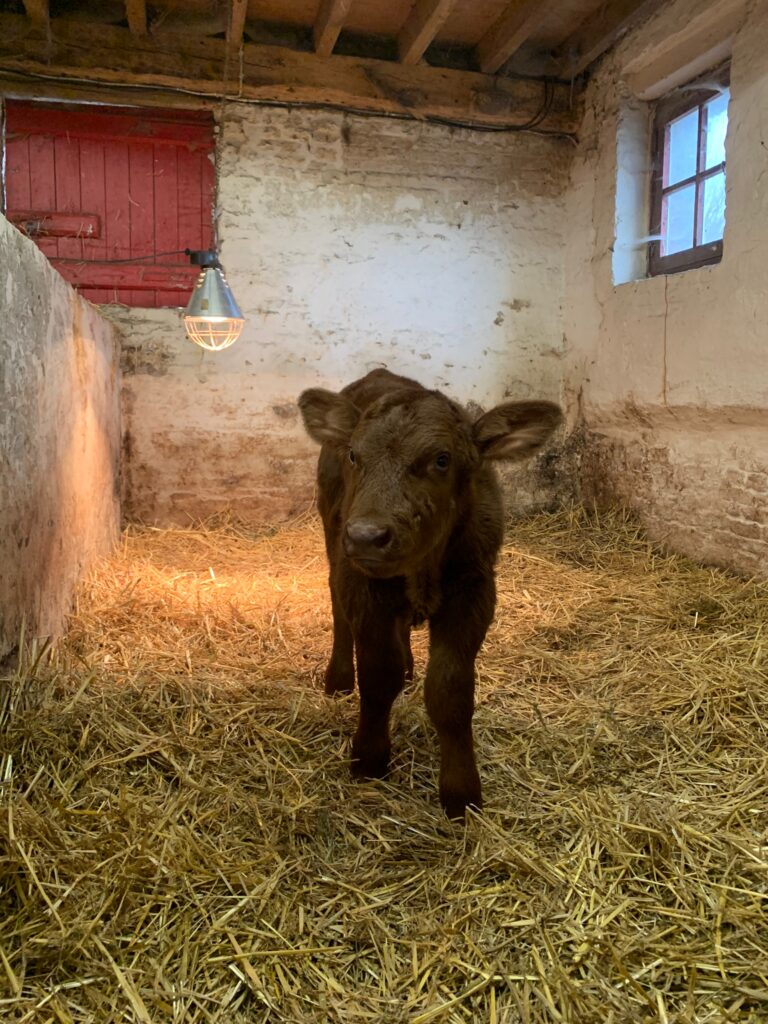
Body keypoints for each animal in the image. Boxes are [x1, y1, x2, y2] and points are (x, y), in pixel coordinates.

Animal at [296, 368, 561, 815]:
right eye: (354, 456)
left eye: (441, 459)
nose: (366, 536)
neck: (422, 571)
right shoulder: (363, 585)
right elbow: (376, 677)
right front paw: (369, 758)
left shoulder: (474, 590)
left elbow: (450, 690)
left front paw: (461, 792)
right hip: (333, 535)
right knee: (337, 604)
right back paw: (339, 678)